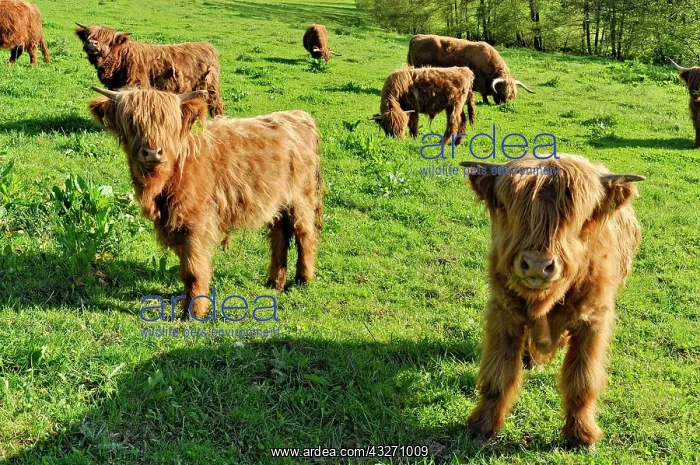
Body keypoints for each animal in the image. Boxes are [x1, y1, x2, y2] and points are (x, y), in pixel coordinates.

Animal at [76, 24, 224, 116]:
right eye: (88, 36)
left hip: (211, 87)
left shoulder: (136, 84)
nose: (92, 43)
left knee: (216, 105)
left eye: (108, 41)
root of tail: (207, 45)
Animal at [88, 87, 323, 319]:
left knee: (305, 235)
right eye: (131, 120)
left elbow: (193, 270)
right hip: (277, 203)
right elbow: (187, 266)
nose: (152, 152)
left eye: (169, 123)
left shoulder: (197, 222)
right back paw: (275, 283)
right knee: (279, 236)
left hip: (300, 199)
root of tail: (296, 115)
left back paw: (303, 279)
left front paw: (193, 312)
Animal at [459, 155, 644, 448]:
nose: (537, 265)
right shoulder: (503, 312)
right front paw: (481, 425)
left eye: (575, 216)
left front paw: (582, 434)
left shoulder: (594, 320)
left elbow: (582, 379)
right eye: (511, 207)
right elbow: (498, 374)